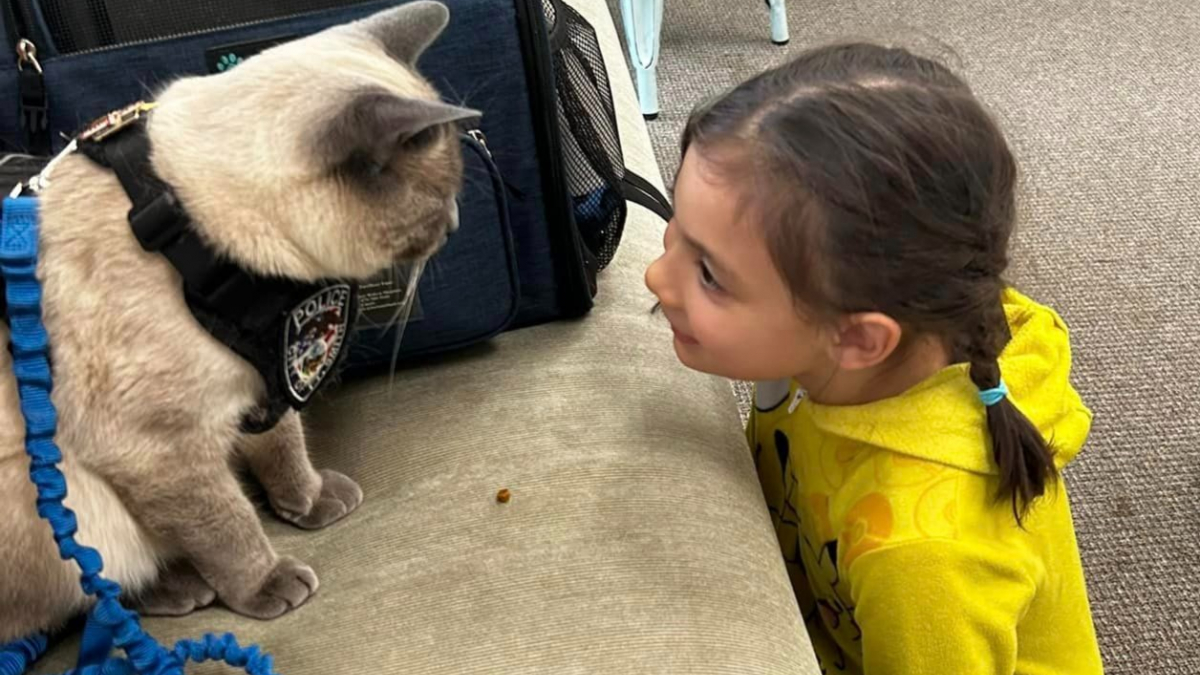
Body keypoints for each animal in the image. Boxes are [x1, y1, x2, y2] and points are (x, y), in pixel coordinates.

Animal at [0, 1, 475, 638]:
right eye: (439, 199)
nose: (455, 223)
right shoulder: (158, 448)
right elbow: (226, 524)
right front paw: (267, 582)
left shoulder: (266, 378)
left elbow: (284, 450)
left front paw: (310, 503)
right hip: (58, 491)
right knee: (91, 584)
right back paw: (181, 587)